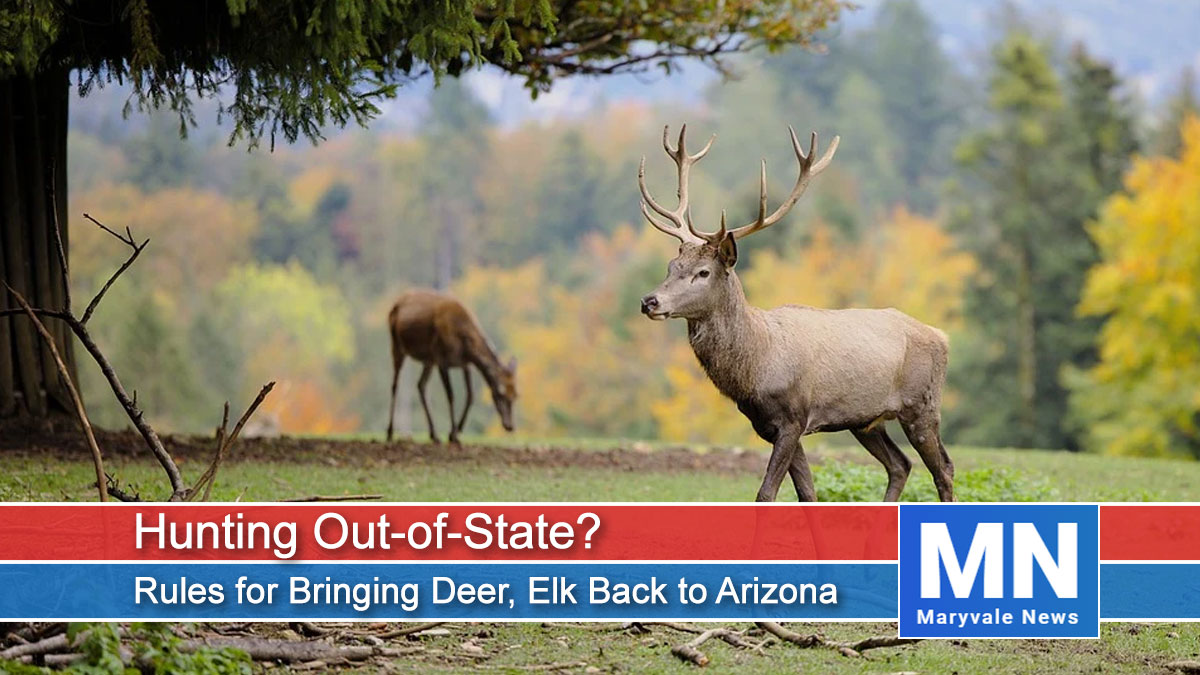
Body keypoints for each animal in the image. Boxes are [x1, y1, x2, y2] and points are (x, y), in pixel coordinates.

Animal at [386, 289, 517, 446]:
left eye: (516, 395)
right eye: (500, 394)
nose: (510, 426)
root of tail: (396, 302)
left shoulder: (465, 364)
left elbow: (470, 396)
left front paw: (457, 431)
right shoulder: (442, 359)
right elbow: (451, 395)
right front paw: (453, 434)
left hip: (429, 359)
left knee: (421, 385)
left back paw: (434, 435)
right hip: (397, 344)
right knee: (395, 385)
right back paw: (390, 432)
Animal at [637, 125, 955, 503]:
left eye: (703, 272)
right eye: (672, 266)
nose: (649, 301)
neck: (756, 367)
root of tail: (942, 336)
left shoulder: (794, 416)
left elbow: (765, 494)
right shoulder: (769, 425)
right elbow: (807, 493)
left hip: (922, 405)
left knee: (943, 469)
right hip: (864, 420)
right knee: (900, 464)